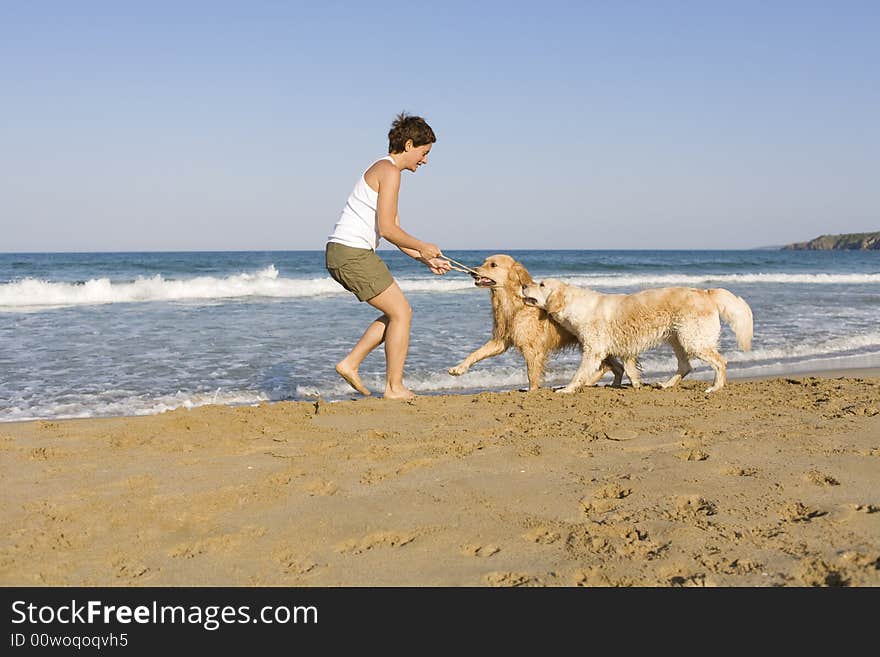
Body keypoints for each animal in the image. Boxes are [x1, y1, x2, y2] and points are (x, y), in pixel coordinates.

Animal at [446, 255, 624, 390]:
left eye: (493, 265)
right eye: (483, 262)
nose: (473, 271)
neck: (514, 303)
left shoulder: (532, 349)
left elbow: (531, 374)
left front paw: (532, 391)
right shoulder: (501, 341)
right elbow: (476, 353)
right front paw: (459, 368)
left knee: (607, 366)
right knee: (615, 367)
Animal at [520, 278, 752, 392]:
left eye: (541, 285)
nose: (522, 285)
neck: (575, 304)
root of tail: (706, 293)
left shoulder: (593, 350)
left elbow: (579, 374)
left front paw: (566, 390)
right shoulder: (624, 348)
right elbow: (629, 369)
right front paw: (634, 385)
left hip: (693, 340)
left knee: (720, 362)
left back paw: (715, 387)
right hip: (678, 340)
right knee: (686, 366)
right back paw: (665, 385)